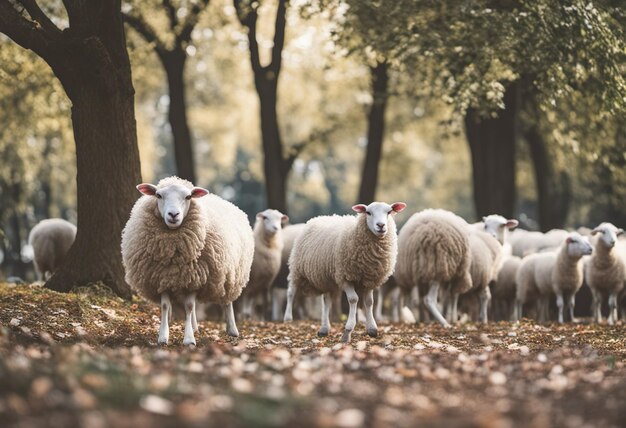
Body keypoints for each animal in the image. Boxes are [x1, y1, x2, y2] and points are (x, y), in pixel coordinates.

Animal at [122, 176, 254, 346]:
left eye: (188, 197)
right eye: (158, 195)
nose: (173, 214)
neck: (172, 249)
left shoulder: (195, 278)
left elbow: (189, 306)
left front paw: (189, 339)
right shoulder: (163, 277)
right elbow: (166, 306)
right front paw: (163, 336)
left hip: (231, 275)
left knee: (227, 301)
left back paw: (232, 329)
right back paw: (193, 326)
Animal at [282, 202, 404, 342]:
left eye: (389, 212)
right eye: (368, 212)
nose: (381, 225)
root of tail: (318, 217)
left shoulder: (369, 279)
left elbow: (369, 302)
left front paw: (372, 329)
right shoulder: (345, 277)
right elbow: (353, 299)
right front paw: (347, 332)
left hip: (326, 278)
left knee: (326, 300)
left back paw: (324, 329)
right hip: (296, 268)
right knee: (291, 292)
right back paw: (288, 318)